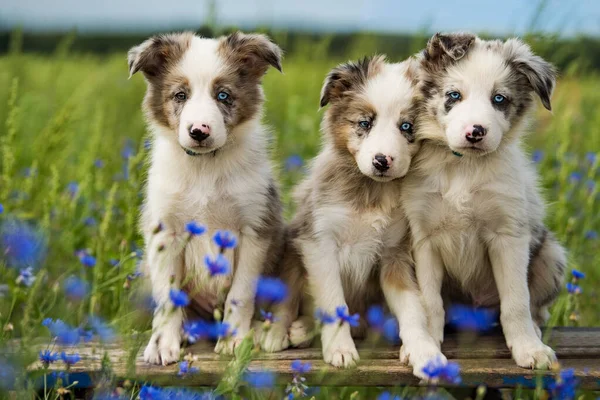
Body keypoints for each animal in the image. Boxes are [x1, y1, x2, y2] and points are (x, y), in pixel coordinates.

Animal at [274, 55, 446, 378]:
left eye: (407, 127)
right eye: (365, 123)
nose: (382, 161)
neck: (371, 192)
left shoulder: (394, 255)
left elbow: (413, 309)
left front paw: (425, 353)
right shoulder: (319, 244)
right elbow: (333, 302)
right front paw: (340, 350)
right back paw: (278, 332)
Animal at [404, 32, 568, 370]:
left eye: (499, 99)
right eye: (453, 95)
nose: (475, 132)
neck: (463, 168)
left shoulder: (508, 236)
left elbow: (516, 301)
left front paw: (529, 349)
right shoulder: (424, 239)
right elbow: (430, 301)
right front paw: (427, 345)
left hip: (551, 254)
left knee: (536, 307)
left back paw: (534, 331)